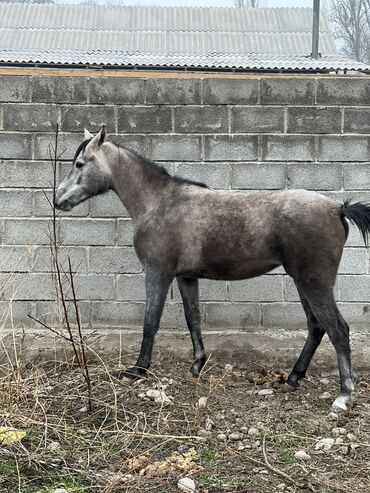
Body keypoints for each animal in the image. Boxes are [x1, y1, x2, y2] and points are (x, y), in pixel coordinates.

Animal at [55, 128, 370, 412]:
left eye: (79, 164)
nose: (58, 200)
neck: (159, 202)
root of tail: (337, 208)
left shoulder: (157, 274)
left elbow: (150, 321)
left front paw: (138, 370)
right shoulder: (186, 277)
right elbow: (192, 318)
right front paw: (197, 364)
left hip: (313, 282)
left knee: (337, 329)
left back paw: (343, 395)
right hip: (303, 282)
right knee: (317, 327)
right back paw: (293, 377)